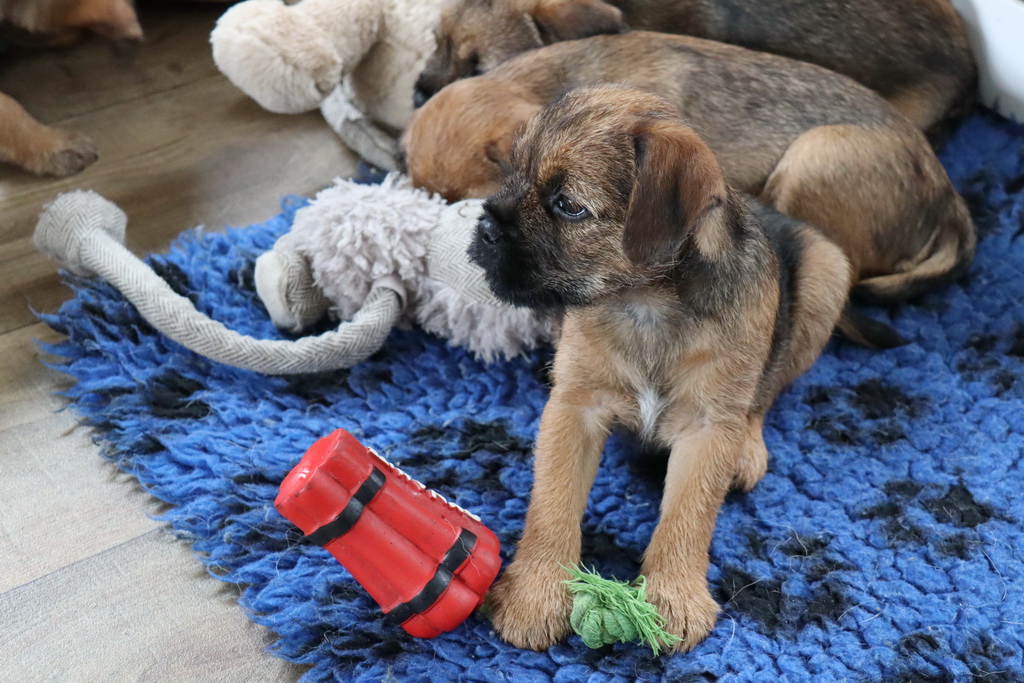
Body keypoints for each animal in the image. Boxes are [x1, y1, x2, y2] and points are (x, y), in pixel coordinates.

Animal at [470, 84, 855, 651]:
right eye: (512, 171)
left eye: (568, 206)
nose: (484, 228)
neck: (646, 304)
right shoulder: (575, 406)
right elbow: (552, 501)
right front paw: (536, 592)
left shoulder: (708, 426)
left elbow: (688, 514)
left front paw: (673, 595)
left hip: (829, 272)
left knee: (768, 390)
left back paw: (748, 447)